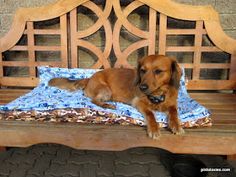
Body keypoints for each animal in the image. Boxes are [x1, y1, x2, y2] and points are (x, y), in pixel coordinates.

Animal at [48, 54, 184, 139]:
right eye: (143, 70)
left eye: (158, 71)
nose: (142, 87)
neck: (158, 95)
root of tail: (89, 78)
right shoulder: (139, 102)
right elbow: (150, 114)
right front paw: (154, 129)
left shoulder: (172, 103)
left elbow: (174, 112)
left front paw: (176, 125)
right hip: (106, 90)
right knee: (94, 100)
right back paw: (107, 105)